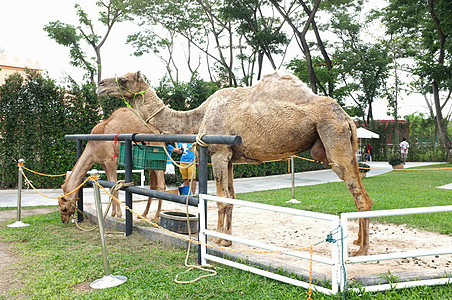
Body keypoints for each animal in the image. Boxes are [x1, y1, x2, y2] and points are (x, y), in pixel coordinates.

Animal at [97, 71, 372, 255]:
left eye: (124, 79)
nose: (100, 85)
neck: (198, 116)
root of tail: (348, 118)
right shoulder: (229, 157)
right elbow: (230, 197)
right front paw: (226, 238)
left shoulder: (219, 153)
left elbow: (220, 199)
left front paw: (217, 240)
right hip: (345, 143)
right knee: (363, 193)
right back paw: (358, 242)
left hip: (333, 137)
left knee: (360, 196)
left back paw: (361, 251)